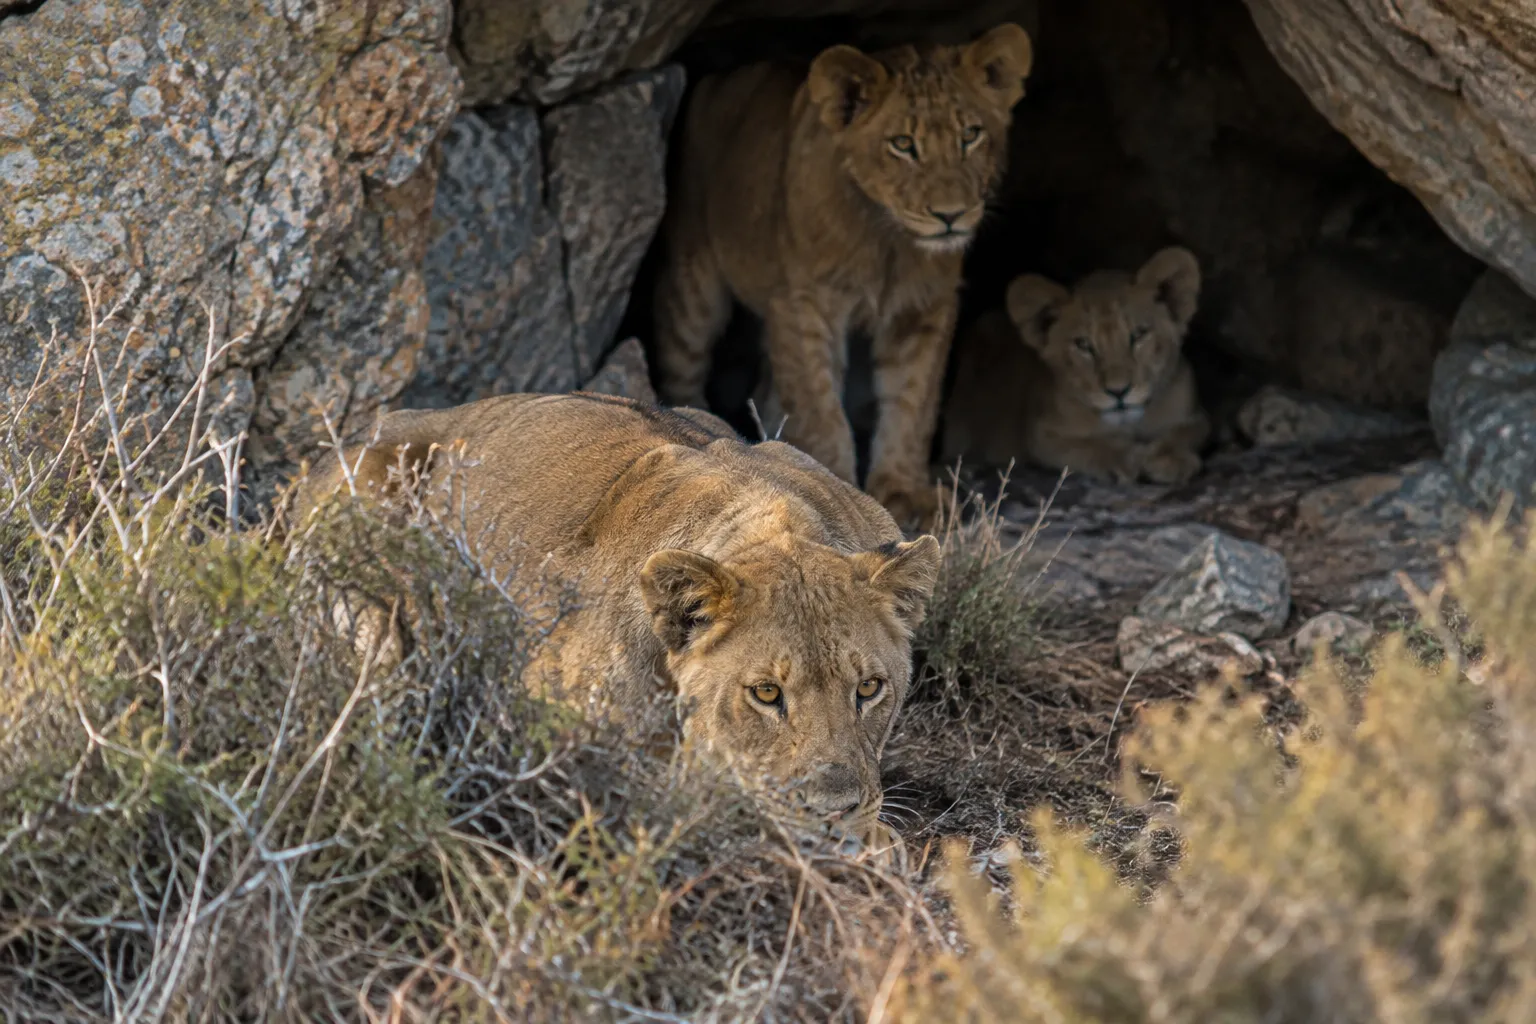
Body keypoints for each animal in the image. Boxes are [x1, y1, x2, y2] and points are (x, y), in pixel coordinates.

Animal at [652, 25, 1034, 529]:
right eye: (903, 144)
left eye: (971, 135)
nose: (950, 216)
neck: (889, 242)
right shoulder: (803, 303)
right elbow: (820, 408)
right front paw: (835, 484)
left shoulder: (925, 308)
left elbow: (912, 402)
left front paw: (904, 492)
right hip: (693, 287)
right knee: (684, 370)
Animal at [942, 247, 1210, 485]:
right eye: (1083, 345)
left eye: (1139, 334)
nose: (1118, 392)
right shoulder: (1042, 433)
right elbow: (1085, 446)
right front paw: (1126, 458)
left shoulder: (1196, 413)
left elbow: (1187, 432)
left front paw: (1169, 459)